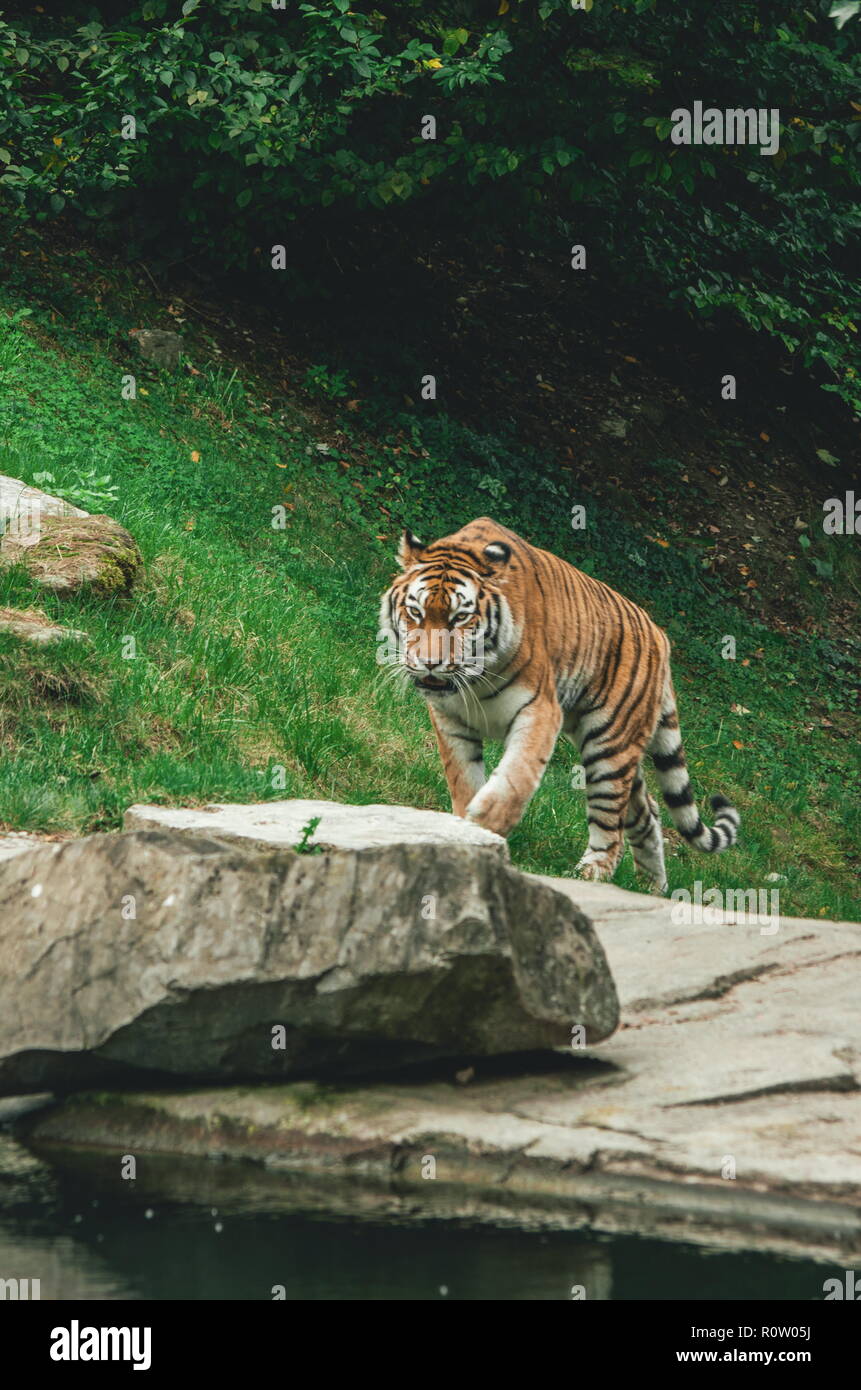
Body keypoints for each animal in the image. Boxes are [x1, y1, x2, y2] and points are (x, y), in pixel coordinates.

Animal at [378, 517, 739, 895]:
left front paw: (487, 823)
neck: (473, 680)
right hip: (623, 749)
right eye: (415, 612)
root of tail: (661, 637)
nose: (430, 663)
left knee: (611, 825)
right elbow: (463, 779)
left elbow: (516, 776)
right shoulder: (451, 720)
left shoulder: (539, 709)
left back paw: (591, 873)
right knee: (648, 810)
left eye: (460, 618)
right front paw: (465, 834)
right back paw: (651, 887)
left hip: (609, 747)